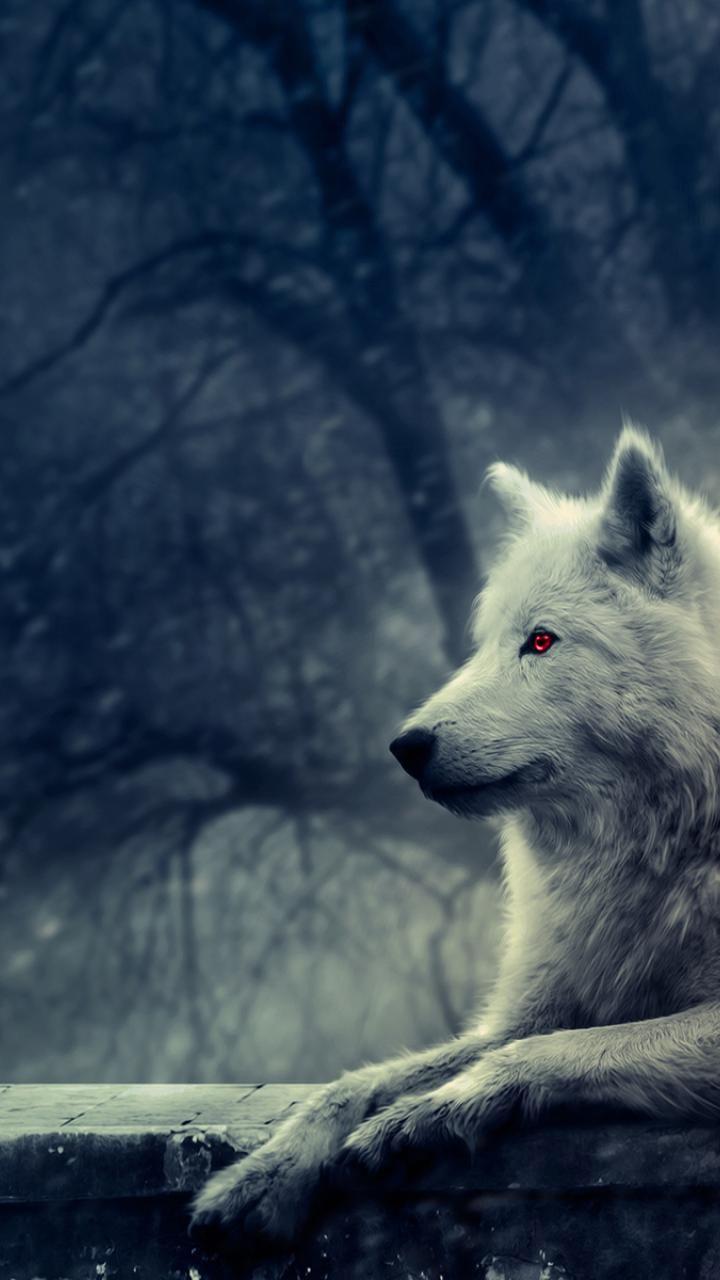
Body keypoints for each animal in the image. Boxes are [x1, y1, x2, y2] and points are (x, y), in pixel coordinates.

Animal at [191, 427, 720, 1250]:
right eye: (486, 644)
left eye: (542, 641)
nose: (406, 746)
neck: (656, 845)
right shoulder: (531, 1006)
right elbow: (355, 1081)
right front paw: (263, 1176)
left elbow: (548, 1051)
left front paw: (430, 1112)